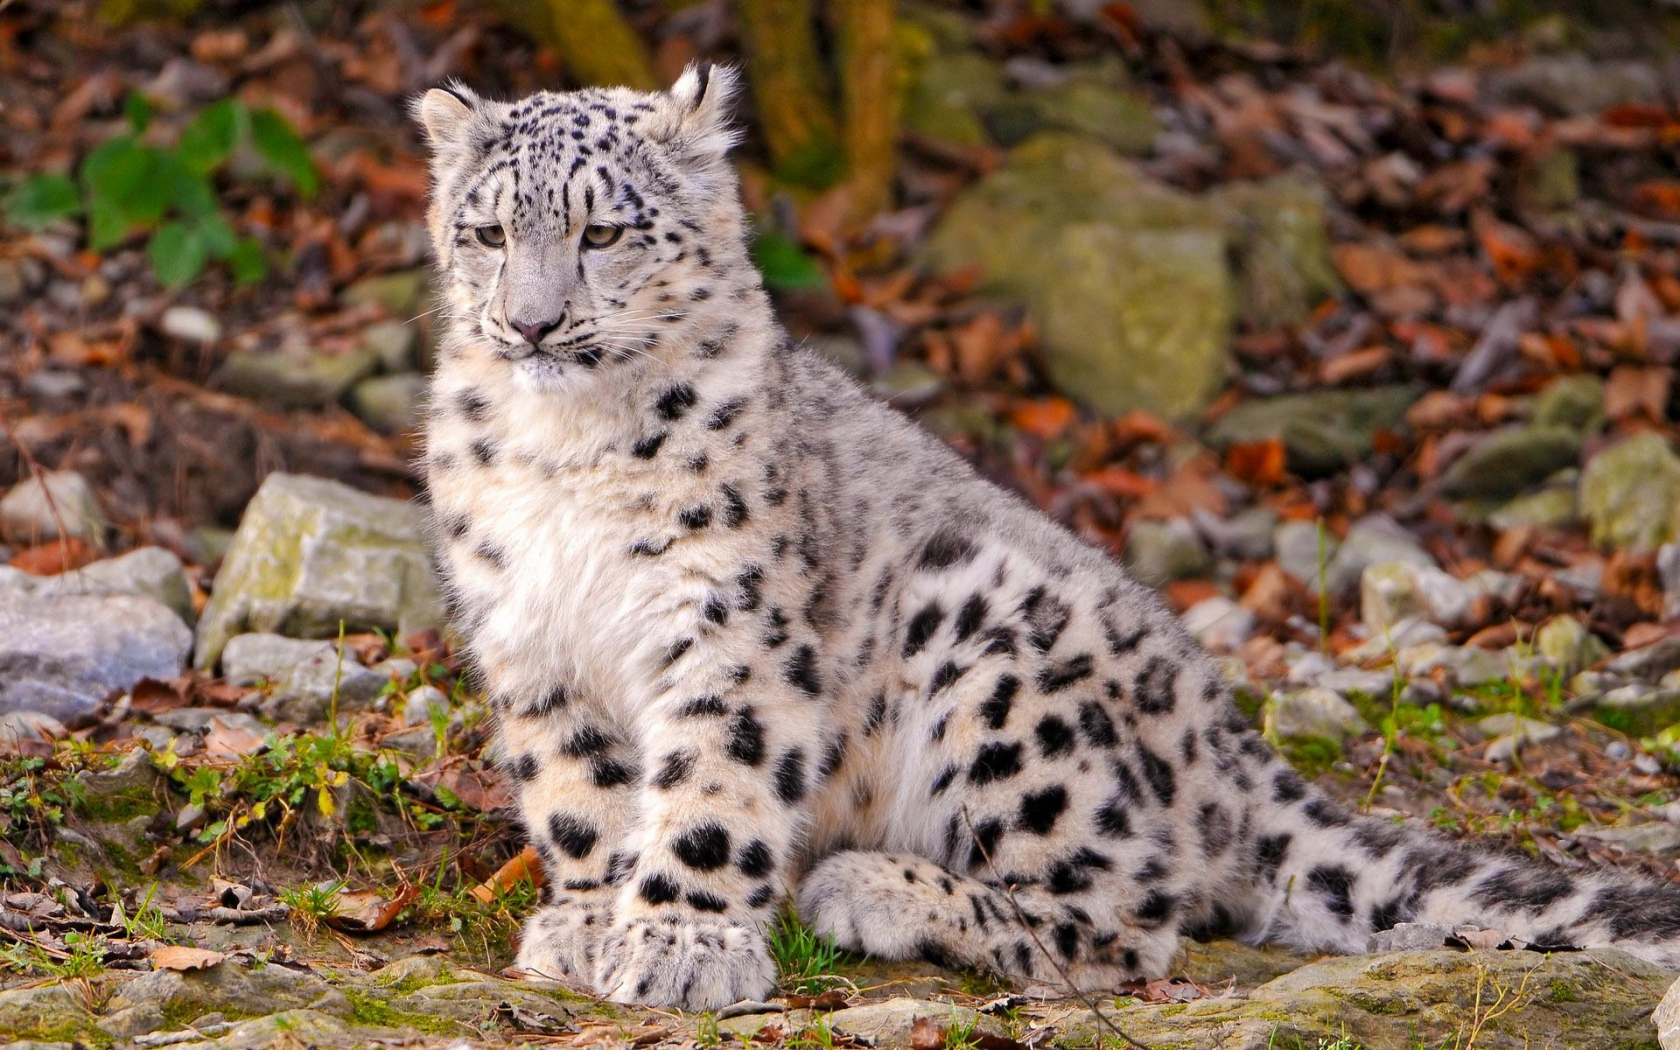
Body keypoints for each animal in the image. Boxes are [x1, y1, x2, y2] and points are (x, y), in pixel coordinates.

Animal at [416, 63, 1680, 1007]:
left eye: (603, 230)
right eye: (486, 231)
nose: (532, 322)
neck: (568, 450)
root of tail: (1224, 737)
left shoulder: (728, 622)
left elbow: (714, 783)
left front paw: (681, 945)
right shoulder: (531, 633)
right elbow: (579, 791)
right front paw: (589, 920)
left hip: (992, 656)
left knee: (1128, 914)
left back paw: (872, 891)